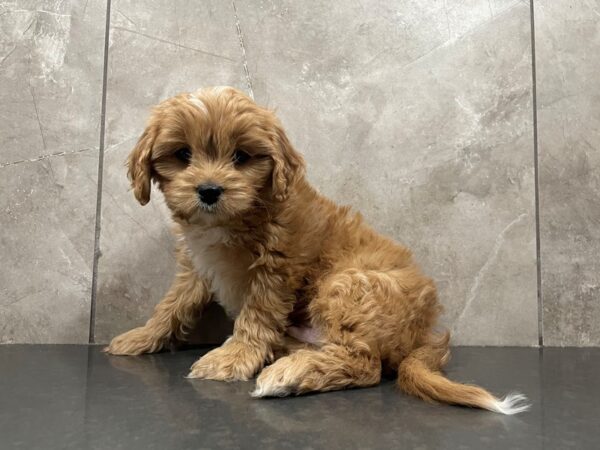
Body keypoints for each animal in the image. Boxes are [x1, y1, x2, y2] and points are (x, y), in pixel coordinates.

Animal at [105, 85, 528, 414]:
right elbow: (172, 304)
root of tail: (422, 335)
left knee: (365, 364)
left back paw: (289, 374)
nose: (209, 190)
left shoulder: (275, 269)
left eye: (241, 156)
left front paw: (233, 356)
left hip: (348, 285)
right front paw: (142, 337)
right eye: (183, 154)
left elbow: (256, 317)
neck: (235, 220)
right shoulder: (196, 267)